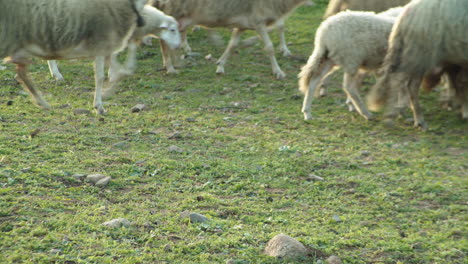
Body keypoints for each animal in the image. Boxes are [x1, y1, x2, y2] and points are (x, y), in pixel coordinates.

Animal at [0, 0, 146, 114]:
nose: (142, 22)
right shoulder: (100, 44)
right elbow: (100, 77)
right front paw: (99, 105)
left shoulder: (105, 48)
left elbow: (122, 73)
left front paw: (105, 95)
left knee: (21, 73)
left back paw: (42, 102)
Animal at [152, 0, 308, 79]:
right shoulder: (258, 22)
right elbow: (269, 47)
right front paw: (278, 72)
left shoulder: (243, 25)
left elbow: (232, 45)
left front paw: (220, 65)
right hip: (173, 14)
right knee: (164, 42)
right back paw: (170, 68)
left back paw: (173, 64)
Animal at [368, 0, 468, 129]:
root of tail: (406, 15)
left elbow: (459, 82)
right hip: (419, 55)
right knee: (406, 84)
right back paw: (408, 119)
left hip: (415, 54)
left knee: (403, 82)